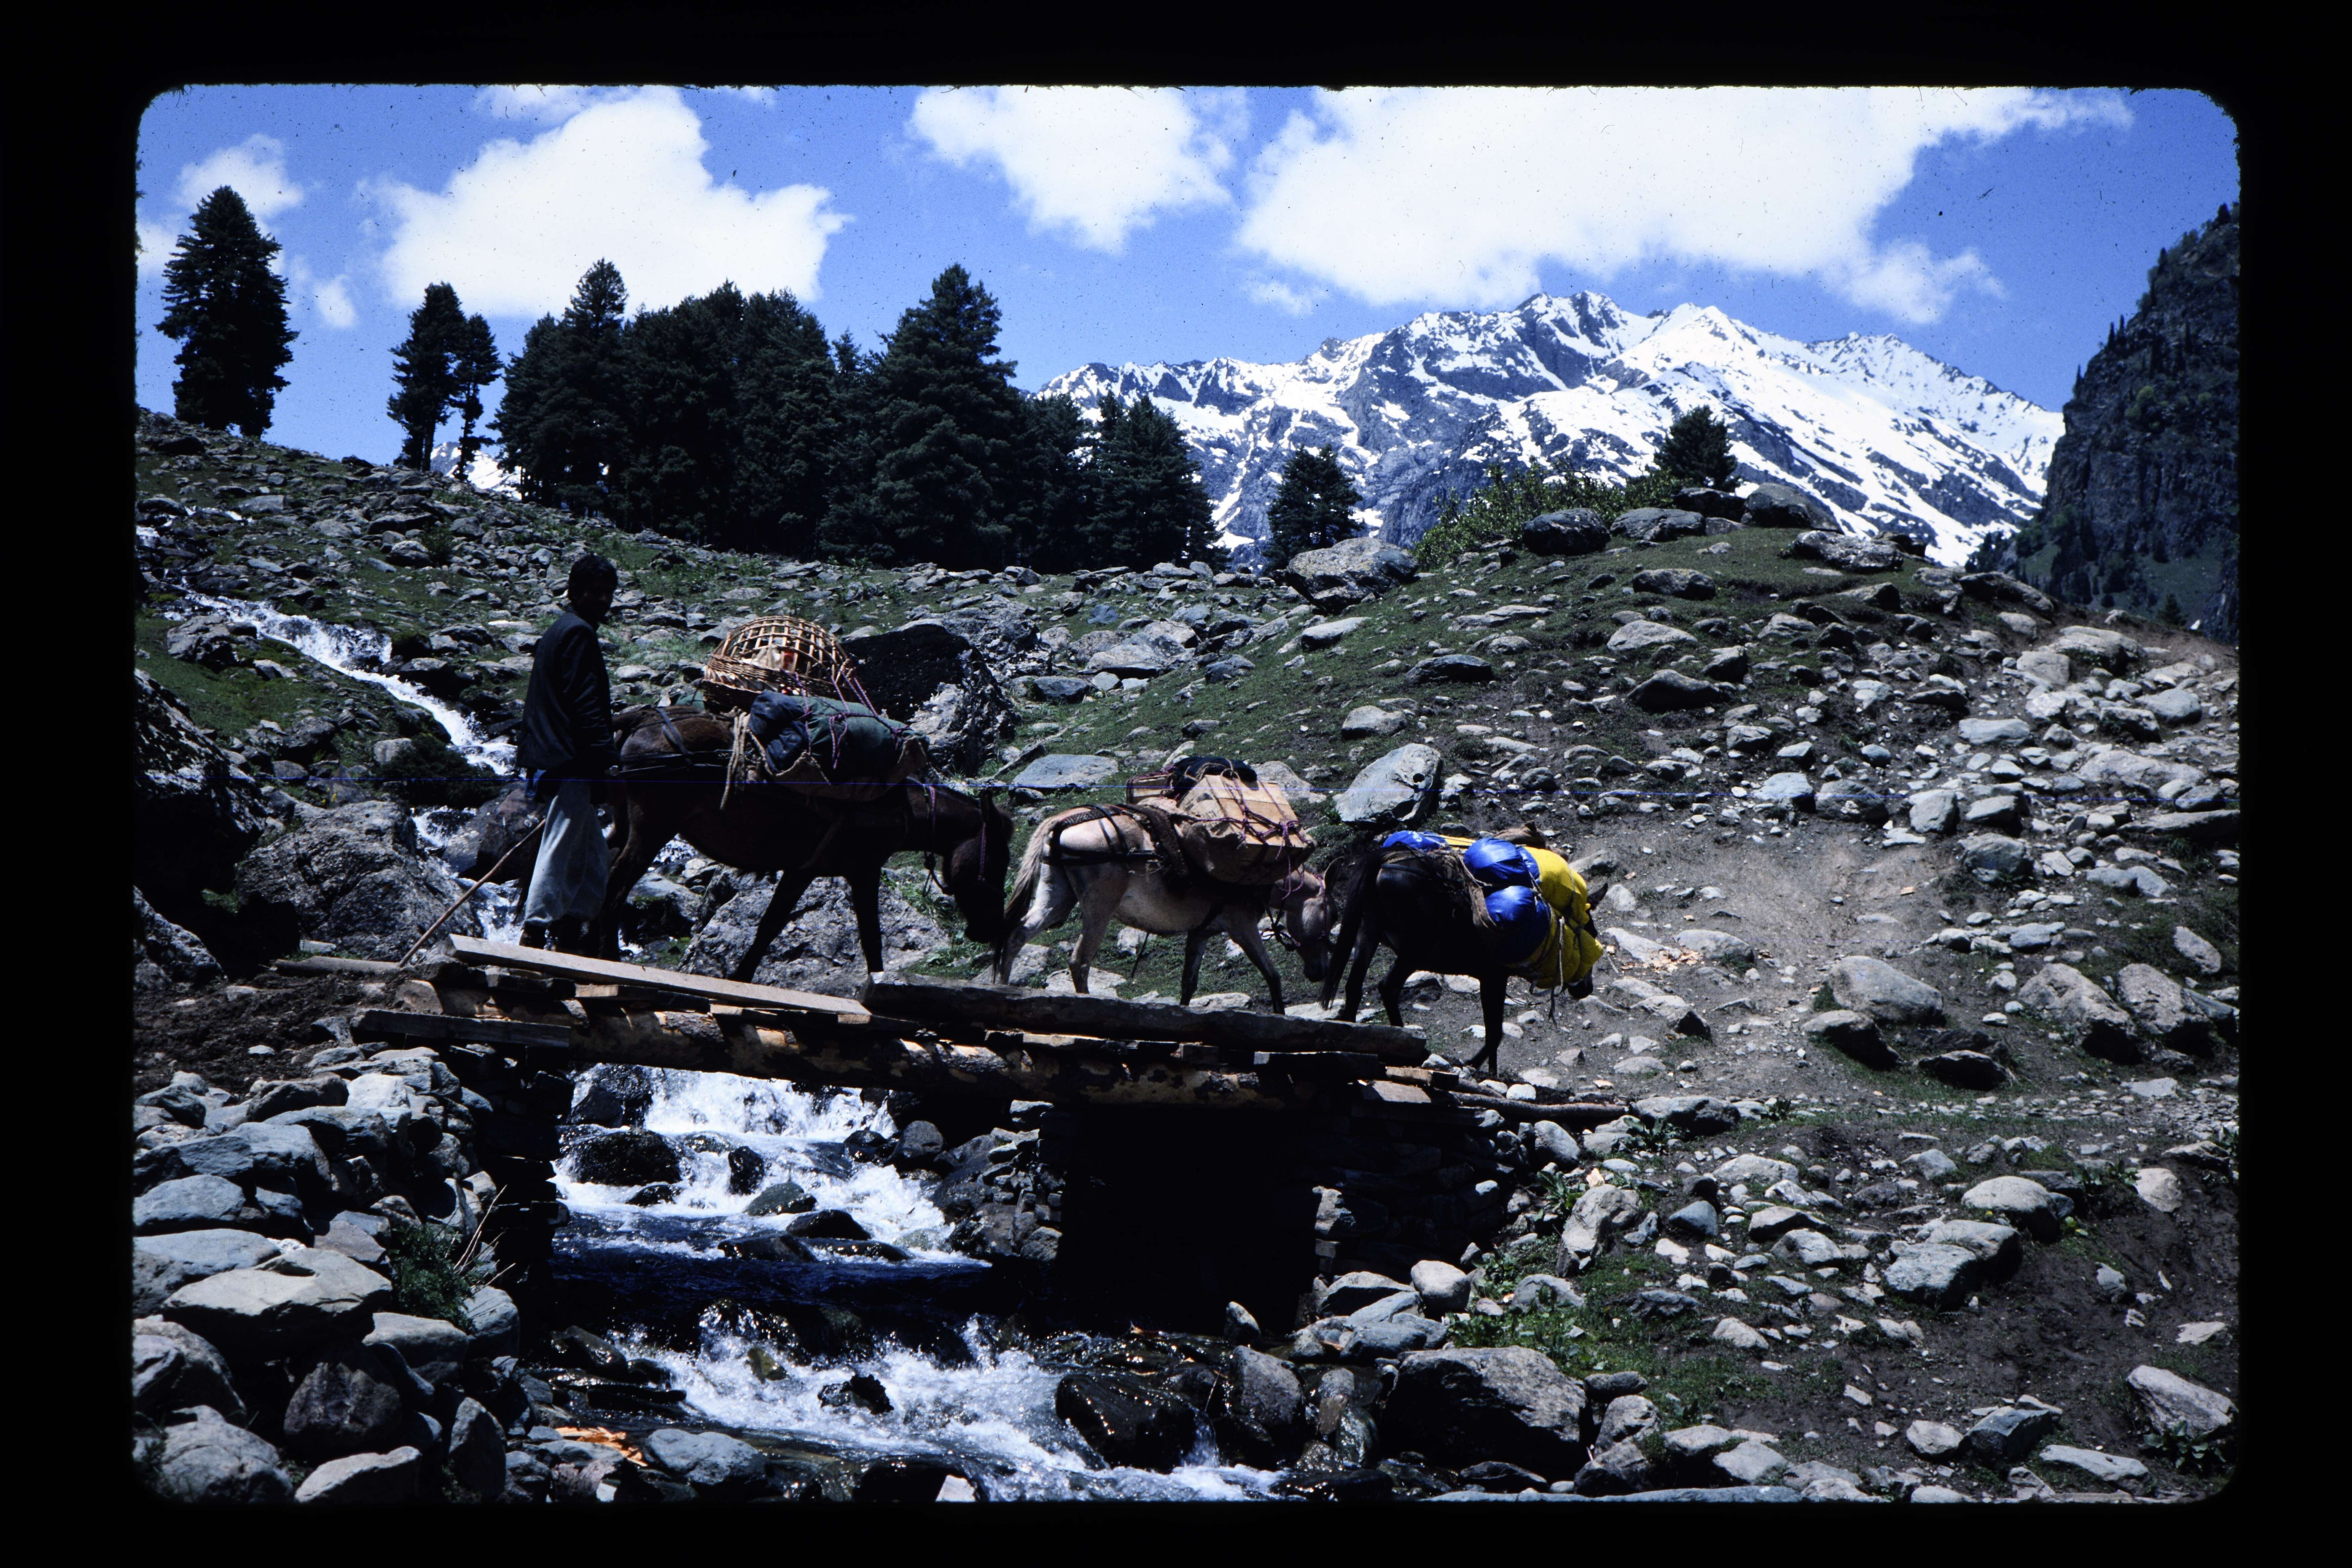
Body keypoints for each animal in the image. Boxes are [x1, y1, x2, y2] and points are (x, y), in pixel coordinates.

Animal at [593, 705, 1013, 982]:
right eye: (996, 860)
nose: (992, 928)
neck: (898, 808)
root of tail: (641, 719)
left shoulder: (802, 870)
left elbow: (770, 926)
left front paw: (742, 978)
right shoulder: (863, 872)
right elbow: (872, 939)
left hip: (626, 824)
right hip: (652, 830)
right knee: (616, 888)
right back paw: (608, 958)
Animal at [992, 805, 1336, 1009]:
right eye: (1330, 916)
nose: (1320, 971)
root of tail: (1064, 822)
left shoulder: (1201, 934)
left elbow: (1188, 984)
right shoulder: (1243, 929)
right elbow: (1273, 976)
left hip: (1055, 900)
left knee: (1017, 935)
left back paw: (1004, 989)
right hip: (1098, 911)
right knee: (1079, 961)